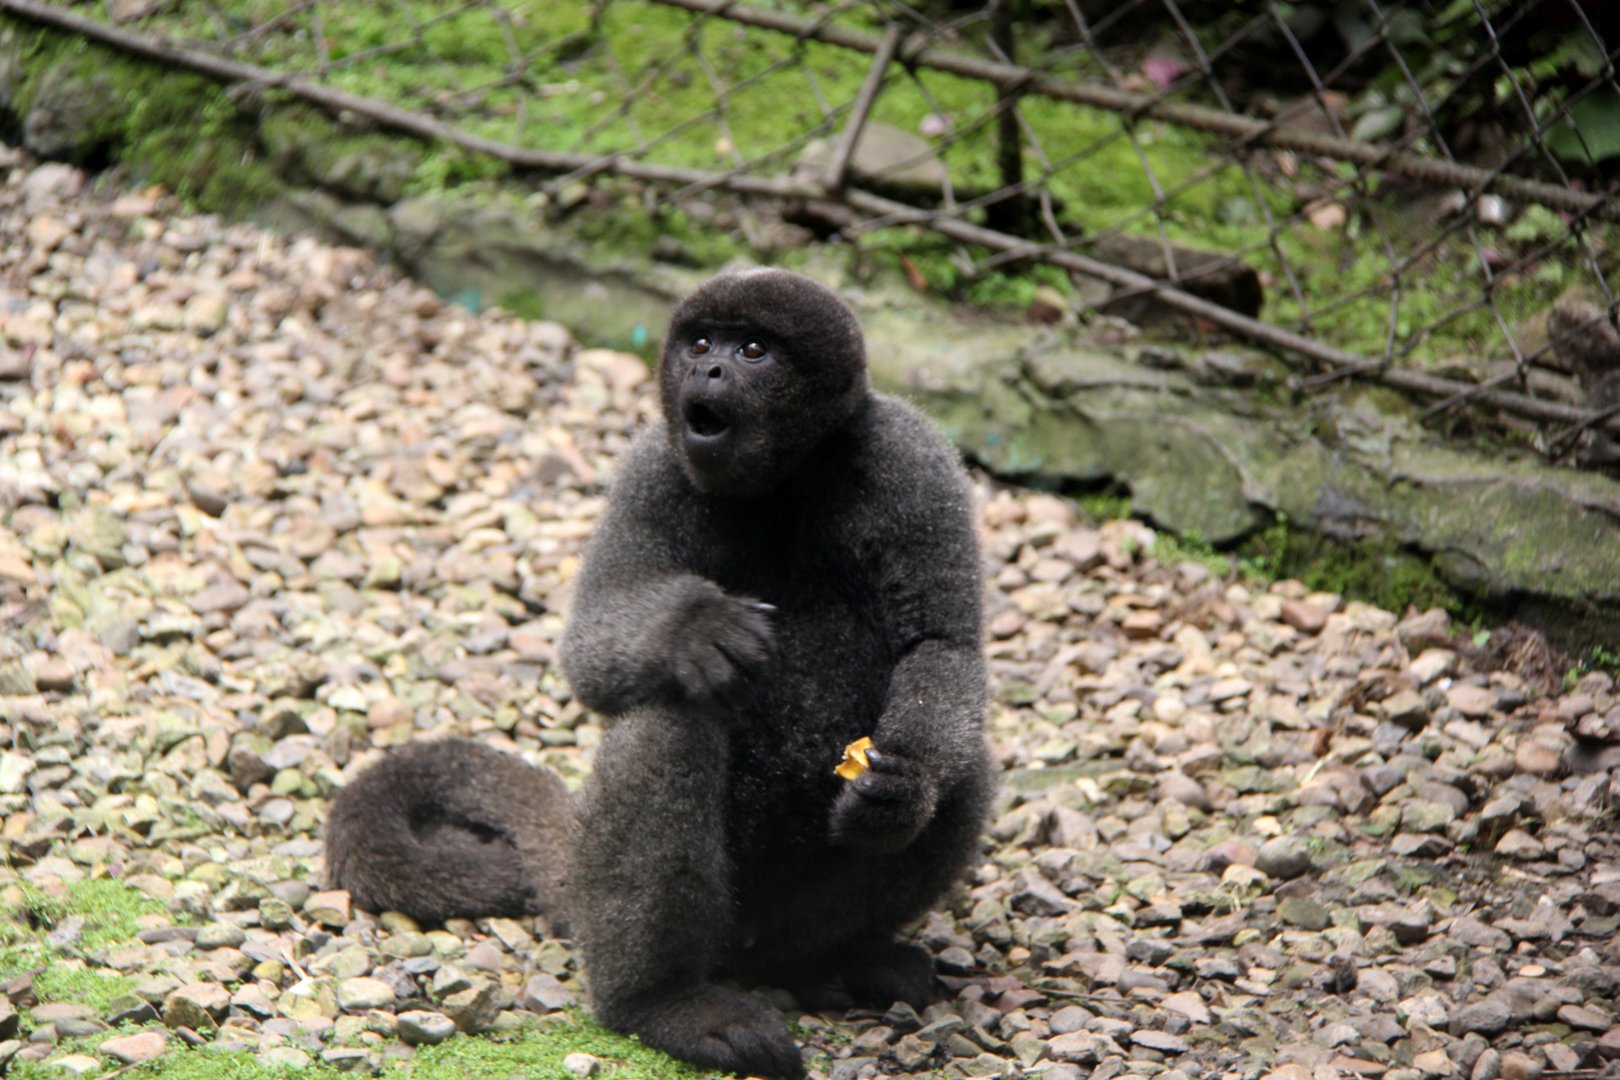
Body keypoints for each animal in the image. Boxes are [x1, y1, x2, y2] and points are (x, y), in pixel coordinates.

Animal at [323, 269, 993, 1080]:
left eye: (753, 349)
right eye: (701, 343)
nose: (709, 372)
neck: (786, 481)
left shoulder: (912, 459)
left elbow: (942, 647)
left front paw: (900, 794)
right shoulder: (651, 468)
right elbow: (588, 648)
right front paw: (692, 629)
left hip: (786, 919)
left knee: (967, 768)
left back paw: (832, 958)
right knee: (668, 724)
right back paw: (661, 1003)